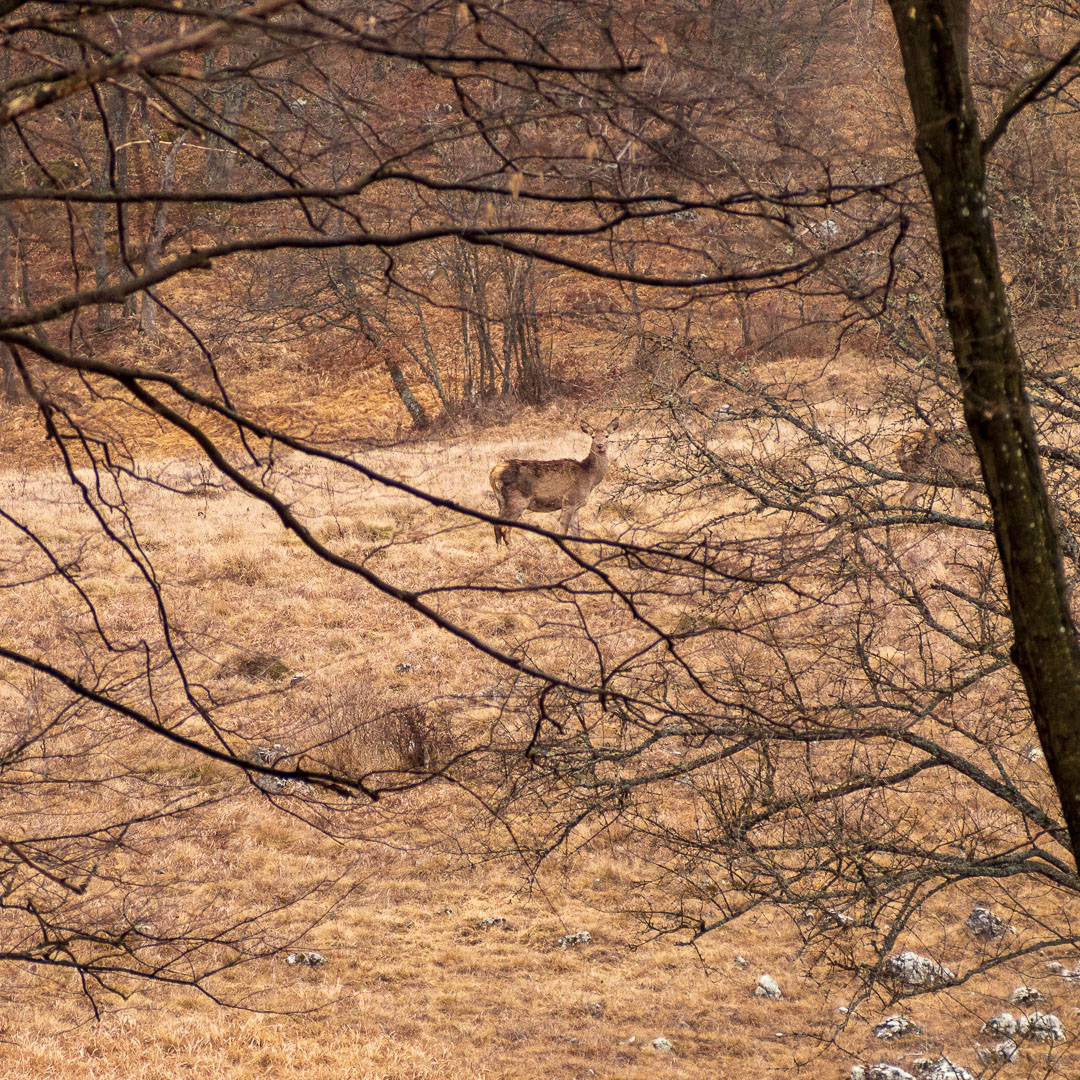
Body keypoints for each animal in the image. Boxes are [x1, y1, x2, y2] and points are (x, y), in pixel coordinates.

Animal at [488, 416, 617, 544]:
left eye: (607, 436)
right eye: (593, 436)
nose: (600, 445)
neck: (589, 477)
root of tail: (494, 472)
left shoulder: (577, 505)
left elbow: (577, 533)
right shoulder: (569, 500)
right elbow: (563, 531)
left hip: (502, 502)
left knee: (497, 526)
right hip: (517, 500)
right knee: (504, 528)